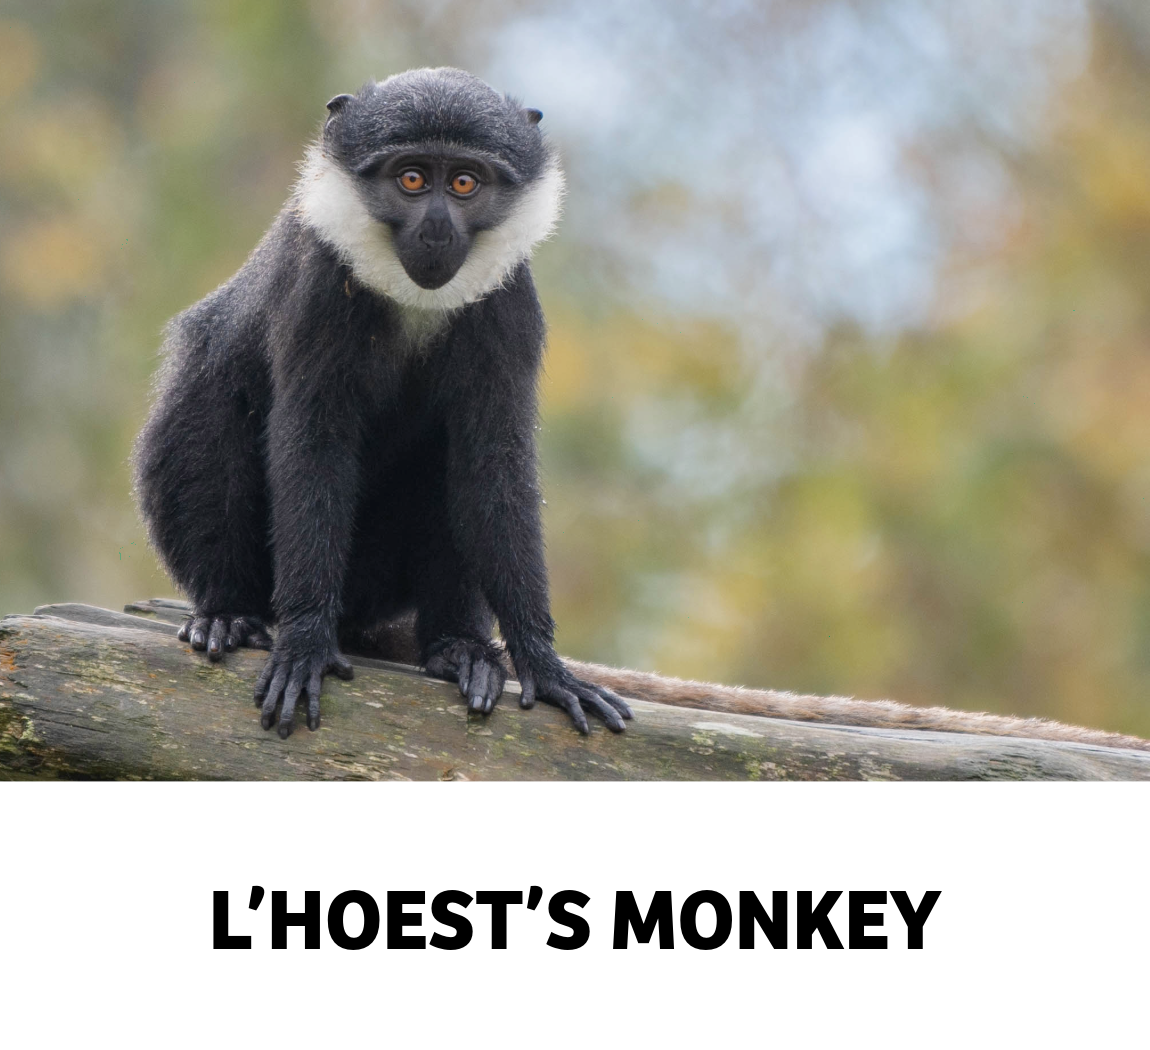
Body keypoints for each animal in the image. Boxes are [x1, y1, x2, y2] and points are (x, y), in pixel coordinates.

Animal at [133, 67, 632, 739]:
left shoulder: (510, 304)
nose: (437, 231)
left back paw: (458, 647)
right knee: (208, 404)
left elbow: (492, 464)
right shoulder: (320, 286)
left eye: (465, 182)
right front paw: (305, 641)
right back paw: (228, 612)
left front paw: (544, 663)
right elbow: (312, 447)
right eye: (412, 179)